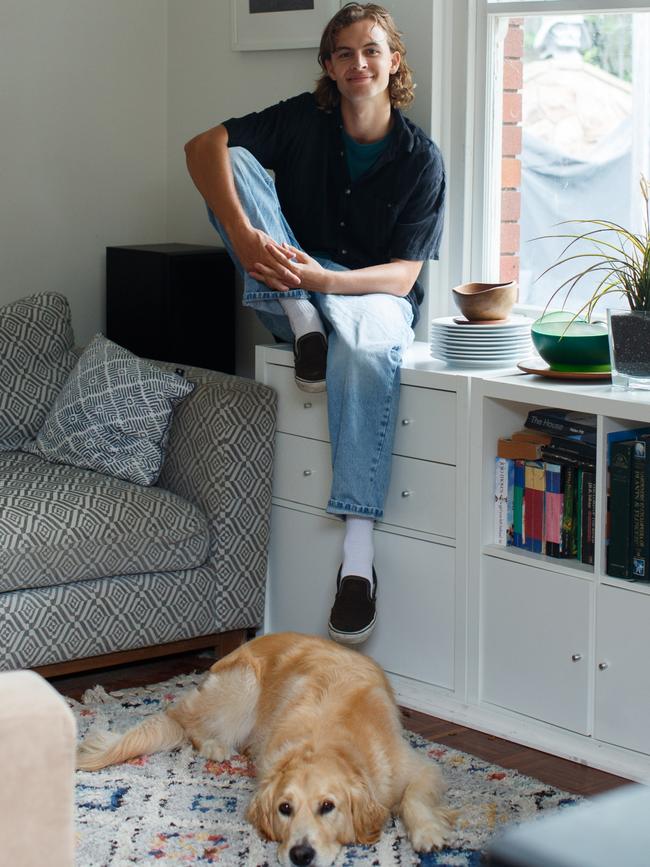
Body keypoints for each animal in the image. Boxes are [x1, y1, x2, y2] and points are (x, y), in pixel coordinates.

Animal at [77, 632, 450, 867]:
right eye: (285, 808)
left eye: (328, 807)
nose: (301, 855)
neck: (328, 743)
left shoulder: (420, 767)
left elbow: (414, 798)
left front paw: (427, 833)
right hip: (242, 689)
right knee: (189, 726)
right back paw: (215, 746)